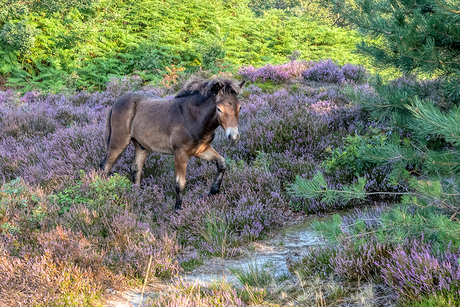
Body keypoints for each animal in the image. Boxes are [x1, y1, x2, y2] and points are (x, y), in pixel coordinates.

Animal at [99, 78, 246, 211]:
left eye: (240, 107)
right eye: (219, 109)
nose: (234, 136)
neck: (192, 118)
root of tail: (116, 103)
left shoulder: (201, 150)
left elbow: (222, 163)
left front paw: (211, 192)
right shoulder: (180, 153)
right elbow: (180, 183)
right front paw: (177, 210)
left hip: (141, 146)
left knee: (135, 169)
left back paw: (138, 198)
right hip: (119, 141)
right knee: (105, 166)